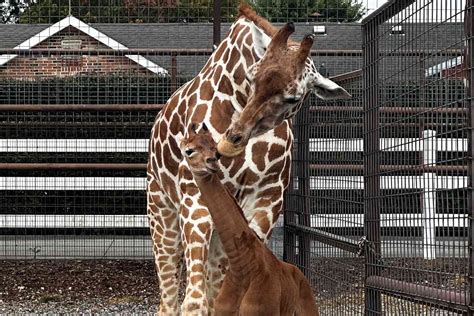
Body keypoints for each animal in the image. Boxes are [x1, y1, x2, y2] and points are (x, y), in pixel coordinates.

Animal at [181, 122, 318, 314]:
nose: (212, 162)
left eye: (214, 147)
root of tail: (300, 274)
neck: (242, 266)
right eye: (189, 150)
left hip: (308, 308)